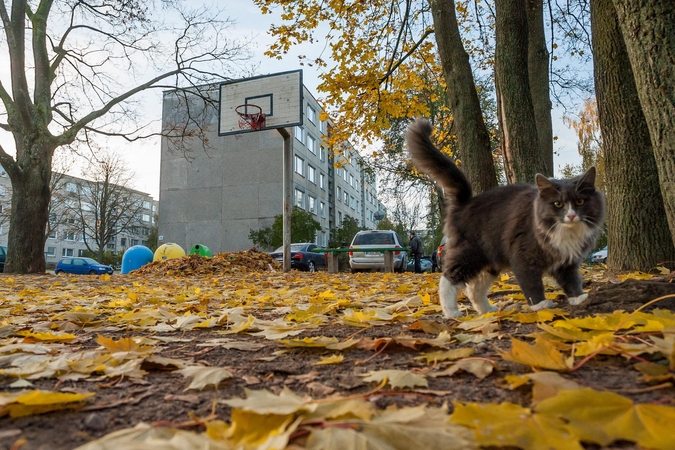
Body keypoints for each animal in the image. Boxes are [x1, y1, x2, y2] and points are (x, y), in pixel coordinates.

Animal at [406, 118, 608, 316]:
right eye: (558, 204)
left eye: (580, 202)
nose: (571, 215)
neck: (565, 232)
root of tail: (466, 202)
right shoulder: (523, 255)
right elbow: (531, 282)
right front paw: (539, 304)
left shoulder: (566, 261)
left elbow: (571, 280)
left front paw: (578, 298)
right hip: (469, 253)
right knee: (448, 278)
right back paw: (451, 311)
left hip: (490, 260)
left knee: (474, 289)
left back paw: (486, 310)